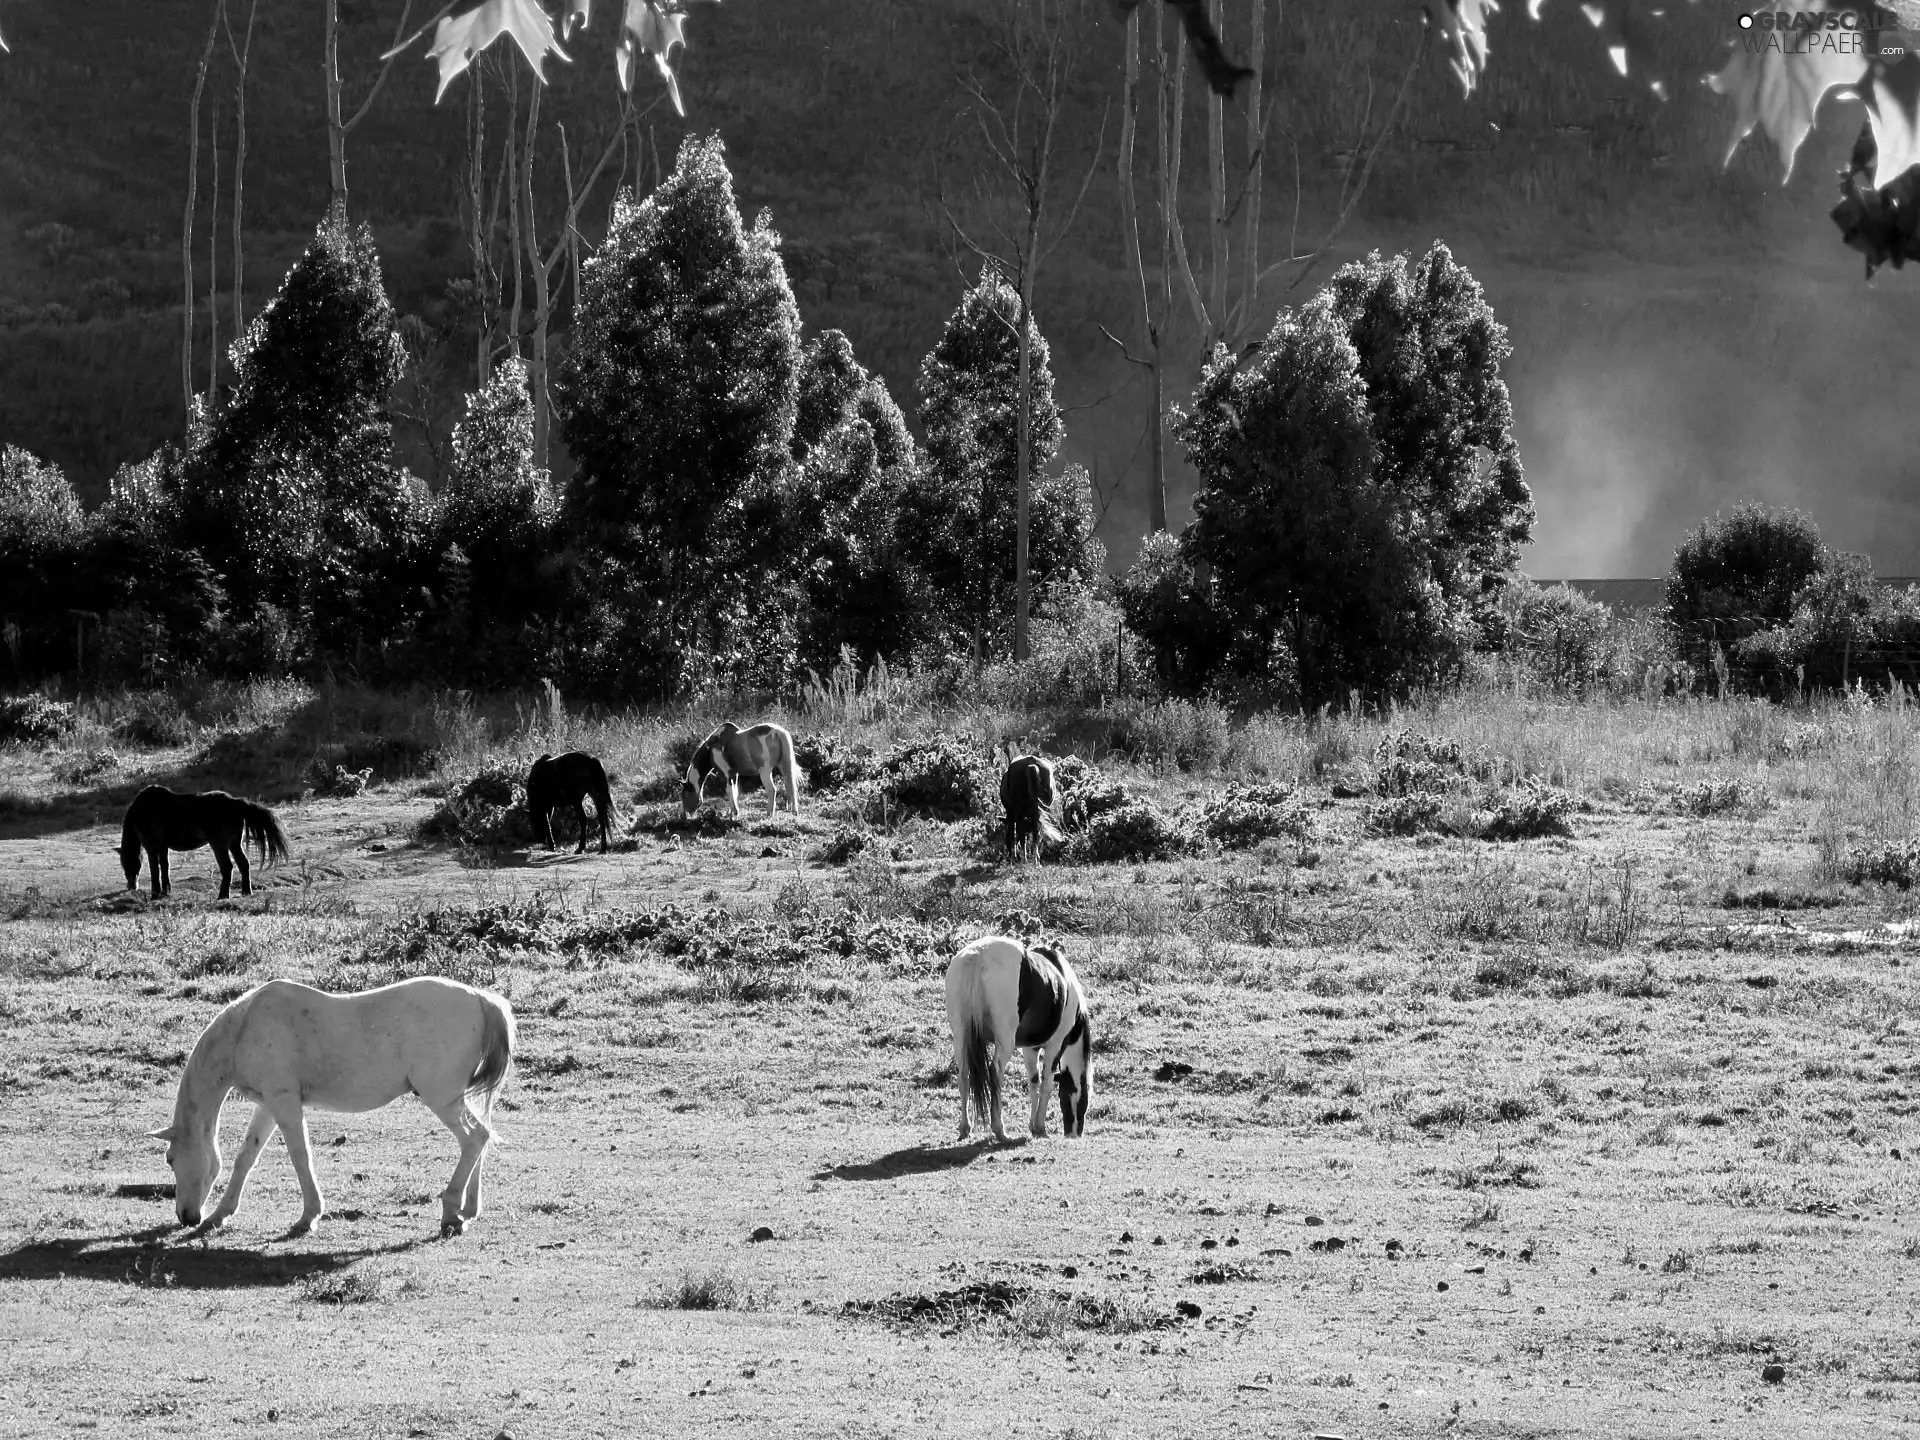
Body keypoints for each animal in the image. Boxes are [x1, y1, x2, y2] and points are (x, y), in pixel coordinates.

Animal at [114, 791, 288, 902]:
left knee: (227, 867)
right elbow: (164, 866)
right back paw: (246, 892)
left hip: (219, 845)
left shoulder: (151, 845)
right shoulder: (163, 846)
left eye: (126, 863)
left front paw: (155, 894)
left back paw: (223, 895)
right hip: (234, 843)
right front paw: (165, 891)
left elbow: (154, 869)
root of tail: (233, 802)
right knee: (243, 864)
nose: (131, 886)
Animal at [146, 983, 518, 1244]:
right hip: (455, 1100)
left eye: (170, 1159)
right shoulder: (269, 1104)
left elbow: (300, 1156)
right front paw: (220, 1215)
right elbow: (245, 1157)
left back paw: (451, 1212)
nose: (186, 1217)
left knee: (474, 1139)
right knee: (481, 1139)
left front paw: (308, 1217)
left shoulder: (284, 1103)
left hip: (442, 1098)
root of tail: (481, 998)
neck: (245, 1028)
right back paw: (467, 1210)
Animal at [944, 936, 1098, 1152]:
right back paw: (1000, 1130)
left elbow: (1033, 1082)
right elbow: (1047, 1083)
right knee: (995, 1073)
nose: (1074, 1134)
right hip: (1004, 1042)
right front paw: (1040, 1127)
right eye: (1083, 1099)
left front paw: (1033, 1126)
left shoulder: (1030, 1048)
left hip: (961, 1036)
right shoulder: (1055, 1045)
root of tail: (977, 954)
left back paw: (966, 1128)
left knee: (963, 1075)